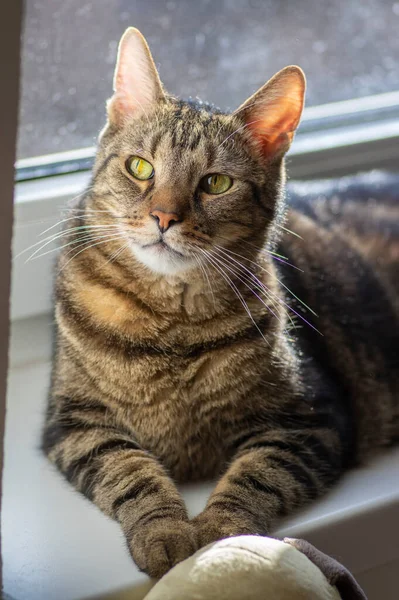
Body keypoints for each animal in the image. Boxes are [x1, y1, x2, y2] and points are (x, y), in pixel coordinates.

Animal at [41, 27, 399, 576]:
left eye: (216, 183)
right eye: (140, 167)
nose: (164, 217)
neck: (170, 325)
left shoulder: (311, 420)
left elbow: (256, 477)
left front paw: (216, 542)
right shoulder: (75, 422)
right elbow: (129, 470)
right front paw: (165, 530)